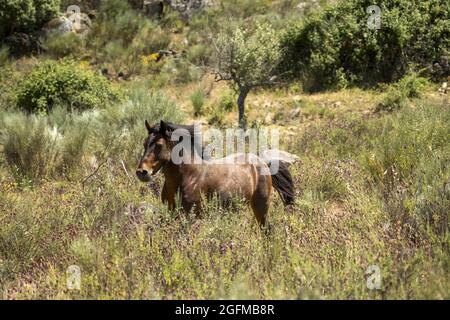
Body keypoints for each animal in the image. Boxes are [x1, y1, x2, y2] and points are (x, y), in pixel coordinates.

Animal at [135, 120, 294, 228]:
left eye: (159, 145)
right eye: (144, 144)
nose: (141, 172)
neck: (187, 176)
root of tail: (262, 162)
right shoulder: (171, 213)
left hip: (262, 207)